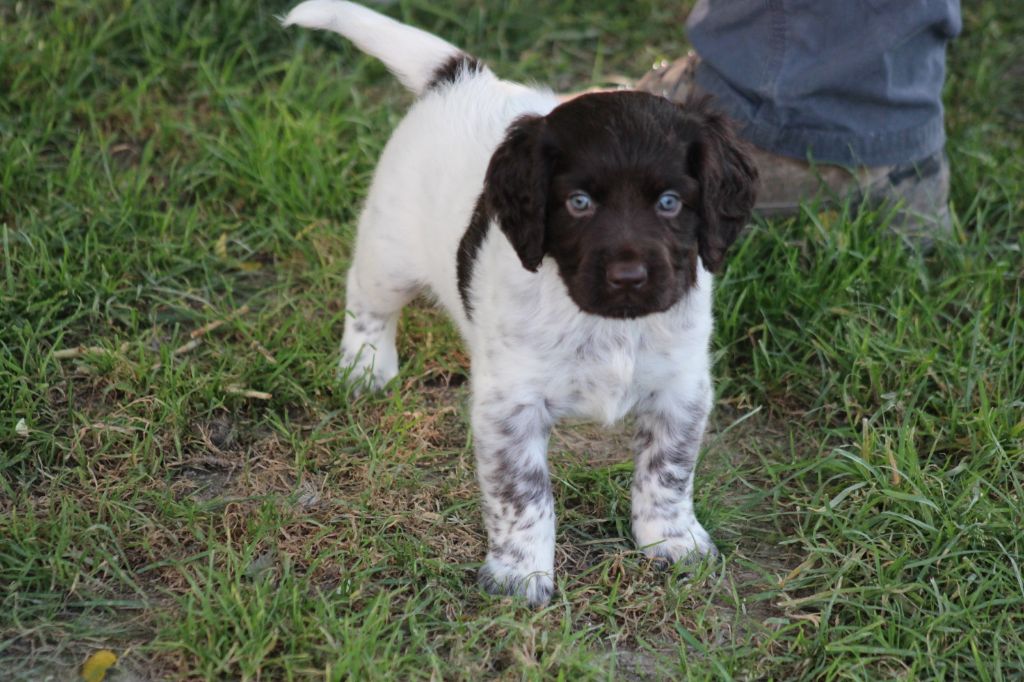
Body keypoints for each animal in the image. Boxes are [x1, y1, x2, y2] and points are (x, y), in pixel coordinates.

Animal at [284, 0, 757, 606]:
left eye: (671, 202)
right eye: (578, 203)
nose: (629, 276)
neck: (608, 325)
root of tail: (464, 75)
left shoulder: (681, 389)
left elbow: (667, 473)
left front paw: (671, 540)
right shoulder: (510, 407)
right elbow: (524, 496)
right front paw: (519, 575)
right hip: (389, 251)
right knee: (366, 299)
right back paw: (365, 366)